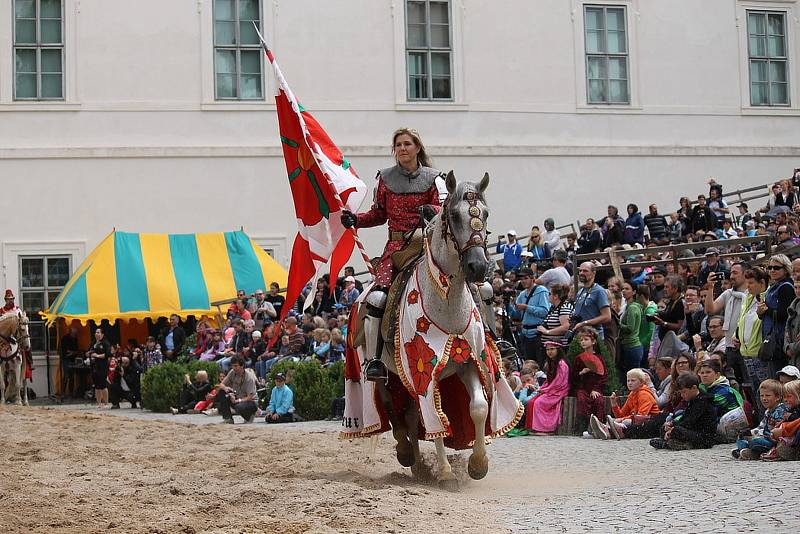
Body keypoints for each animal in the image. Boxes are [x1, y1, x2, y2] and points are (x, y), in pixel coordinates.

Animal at [364, 174, 500, 492]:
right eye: (454, 216)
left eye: (486, 214)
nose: (478, 266)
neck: (446, 303)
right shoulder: (425, 373)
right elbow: (436, 418)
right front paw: (446, 473)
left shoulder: (467, 363)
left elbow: (478, 407)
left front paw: (478, 465)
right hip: (388, 373)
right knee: (394, 408)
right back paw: (406, 453)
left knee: (412, 415)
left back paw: (415, 461)